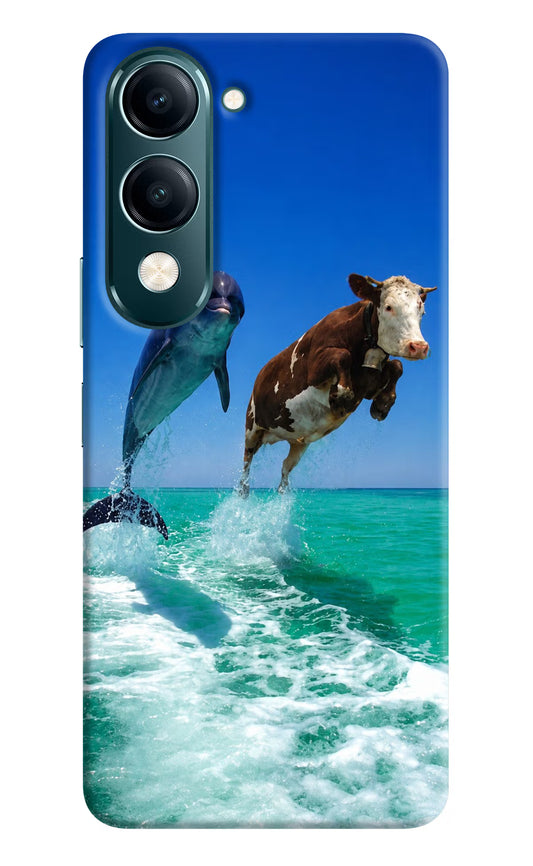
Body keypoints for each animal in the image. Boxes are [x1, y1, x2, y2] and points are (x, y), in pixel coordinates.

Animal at [238, 273, 436, 495]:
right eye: (388, 307)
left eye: (422, 310)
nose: (418, 347)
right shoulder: (314, 369)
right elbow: (343, 355)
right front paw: (341, 396)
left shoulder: (369, 384)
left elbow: (397, 365)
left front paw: (382, 404)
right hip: (252, 427)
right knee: (246, 463)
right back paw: (243, 490)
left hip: (298, 442)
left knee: (285, 467)